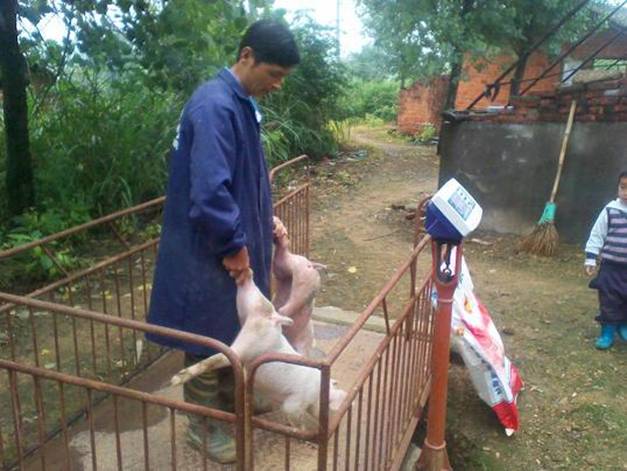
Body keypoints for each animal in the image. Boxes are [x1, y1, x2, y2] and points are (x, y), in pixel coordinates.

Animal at [171, 270, 346, 427]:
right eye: (330, 412)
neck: (318, 392)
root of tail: (273, 318)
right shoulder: (297, 401)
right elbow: (293, 417)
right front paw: (301, 431)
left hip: (247, 317)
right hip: (250, 343)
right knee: (220, 357)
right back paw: (175, 380)